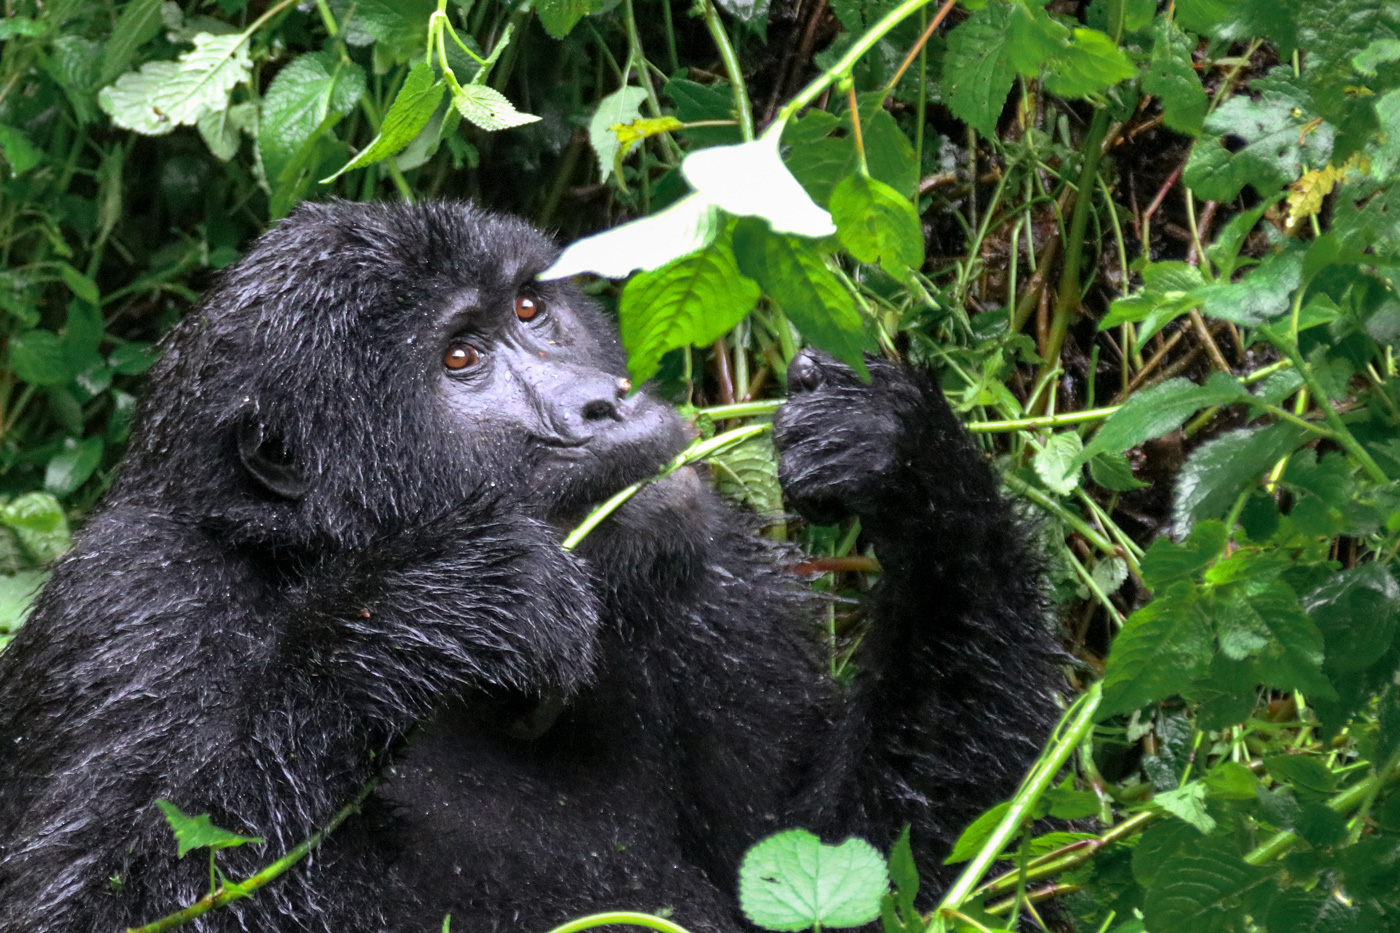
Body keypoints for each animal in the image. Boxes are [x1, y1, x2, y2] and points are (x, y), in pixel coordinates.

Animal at [0, 201, 1058, 930]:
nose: (608, 400)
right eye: (461, 358)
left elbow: (850, 870)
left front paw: (915, 466)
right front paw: (427, 613)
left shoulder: (712, 578)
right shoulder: (135, 601)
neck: (302, 555)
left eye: (528, 307)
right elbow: (107, 905)